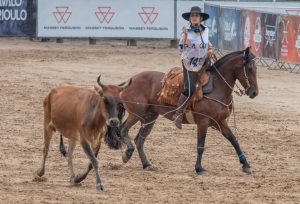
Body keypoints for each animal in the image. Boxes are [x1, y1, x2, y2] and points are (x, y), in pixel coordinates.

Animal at [118, 47, 258, 175]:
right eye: (249, 68)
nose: (254, 92)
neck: (217, 88)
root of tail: (130, 80)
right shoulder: (203, 122)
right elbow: (200, 145)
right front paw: (199, 168)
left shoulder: (220, 121)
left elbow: (234, 140)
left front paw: (246, 165)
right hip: (136, 114)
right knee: (123, 130)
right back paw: (128, 153)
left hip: (150, 116)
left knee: (139, 139)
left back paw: (146, 164)